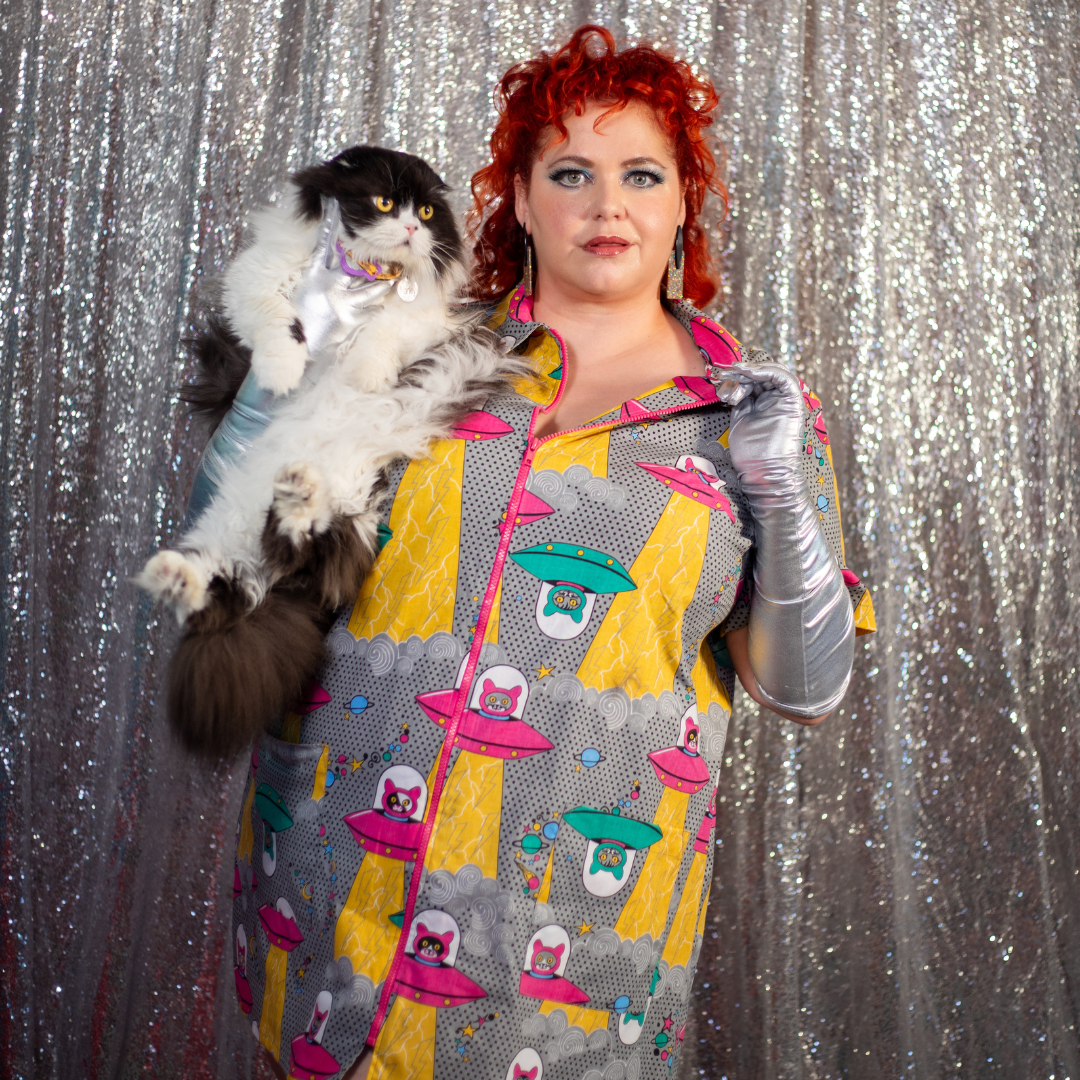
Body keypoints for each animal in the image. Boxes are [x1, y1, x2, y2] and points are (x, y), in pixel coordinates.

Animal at [137, 145, 524, 760]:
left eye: (428, 213)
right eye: (385, 202)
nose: (411, 228)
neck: (358, 275)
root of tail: (281, 585)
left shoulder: (424, 320)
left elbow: (385, 330)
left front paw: (365, 374)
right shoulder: (256, 280)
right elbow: (277, 325)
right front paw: (284, 372)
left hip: (349, 518)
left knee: (290, 547)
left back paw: (289, 498)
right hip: (239, 534)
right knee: (220, 589)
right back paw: (176, 570)